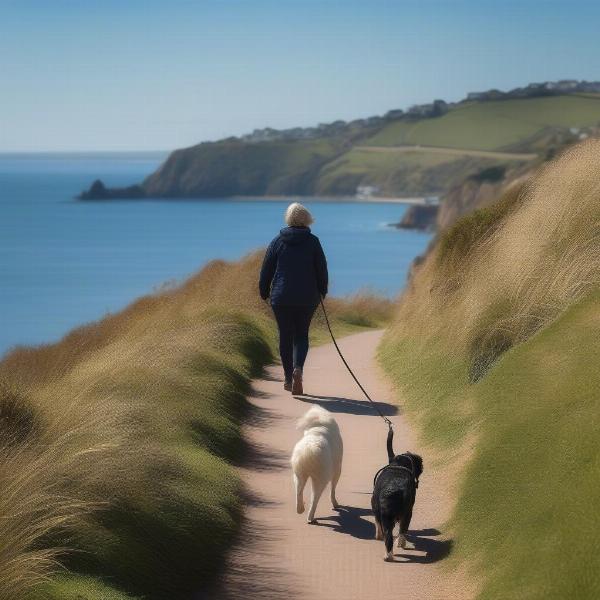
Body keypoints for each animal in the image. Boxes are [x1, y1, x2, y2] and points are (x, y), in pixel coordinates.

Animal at [370, 426, 422, 556]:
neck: (399, 465)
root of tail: (393, 492)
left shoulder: (375, 506)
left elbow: (377, 523)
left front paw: (378, 535)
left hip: (387, 514)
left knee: (389, 534)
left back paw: (389, 553)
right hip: (407, 512)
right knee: (402, 529)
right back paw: (399, 544)